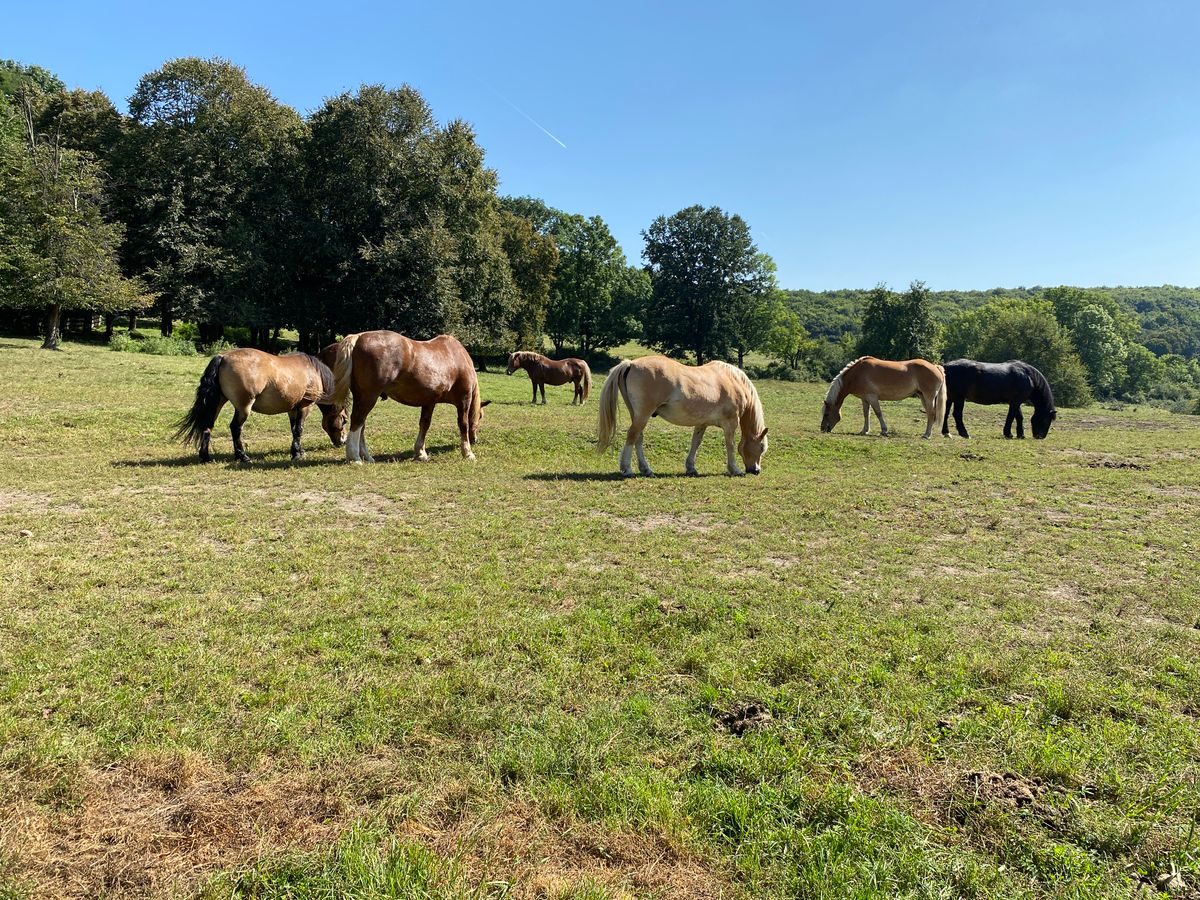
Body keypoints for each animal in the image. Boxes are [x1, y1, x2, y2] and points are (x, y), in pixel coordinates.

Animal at [174, 348, 336, 465]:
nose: (340, 442)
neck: (313, 371)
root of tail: (223, 357)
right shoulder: (304, 407)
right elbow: (298, 430)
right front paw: (297, 454)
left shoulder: (292, 409)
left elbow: (293, 430)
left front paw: (297, 451)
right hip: (244, 407)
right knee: (235, 428)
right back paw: (243, 457)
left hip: (217, 403)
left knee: (207, 426)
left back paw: (206, 457)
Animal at [321, 336, 489, 468]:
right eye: (480, 416)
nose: (475, 440)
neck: (457, 356)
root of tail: (357, 338)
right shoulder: (464, 400)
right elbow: (463, 424)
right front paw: (468, 453)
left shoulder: (429, 402)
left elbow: (424, 424)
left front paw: (421, 453)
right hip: (369, 397)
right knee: (357, 421)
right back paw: (355, 457)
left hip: (362, 397)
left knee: (361, 425)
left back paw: (367, 457)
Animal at [592, 357, 768, 480]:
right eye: (761, 448)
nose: (756, 471)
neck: (733, 381)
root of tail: (631, 364)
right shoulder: (730, 423)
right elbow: (730, 445)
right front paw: (734, 469)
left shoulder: (702, 423)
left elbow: (695, 443)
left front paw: (691, 468)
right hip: (643, 415)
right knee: (632, 436)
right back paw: (627, 469)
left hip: (637, 415)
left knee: (638, 438)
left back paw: (646, 469)